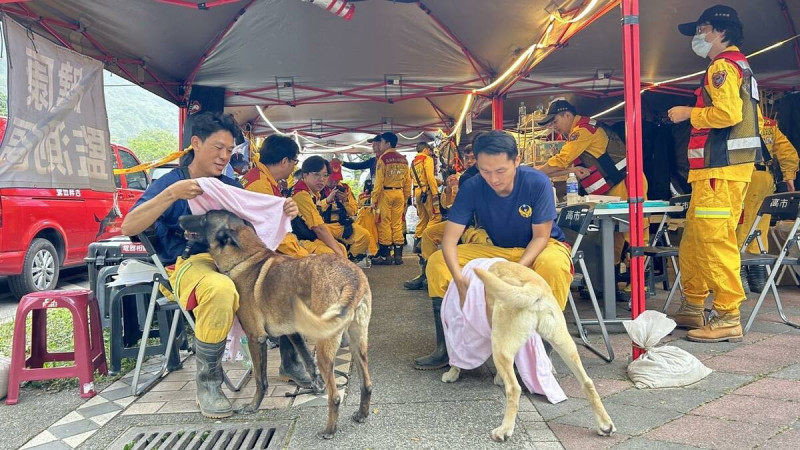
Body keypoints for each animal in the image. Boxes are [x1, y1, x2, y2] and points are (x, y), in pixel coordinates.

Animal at [178, 211, 372, 440]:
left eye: (204, 218)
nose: (180, 218)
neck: (246, 258)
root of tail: (352, 277)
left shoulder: (256, 337)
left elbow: (260, 379)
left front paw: (253, 407)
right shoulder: (293, 332)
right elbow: (308, 362)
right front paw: (316, 386)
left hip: (325, 346)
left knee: (335, 396)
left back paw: (329, 430)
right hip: (357, 344)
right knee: (367, 384)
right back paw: (361, 414)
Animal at [440, 262, 616, 442]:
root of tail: (533, 285)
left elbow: (457, 360)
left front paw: (451, 374)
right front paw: (498, 378)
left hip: (500, 346)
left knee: (514, 389)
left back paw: (504, 429)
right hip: (563, 342)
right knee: (587, 382)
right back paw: (605, 425)